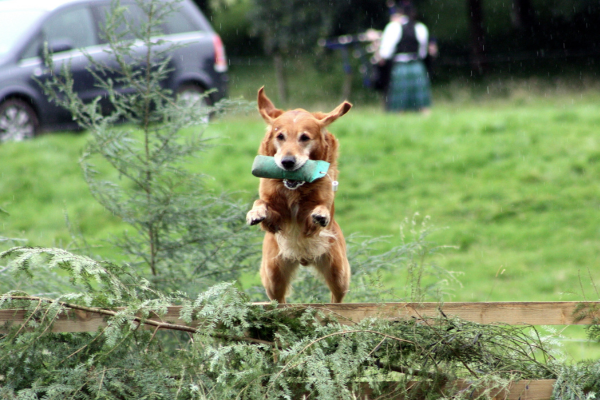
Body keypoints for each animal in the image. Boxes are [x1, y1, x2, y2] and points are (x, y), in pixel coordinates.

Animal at [246, 86, 352, 302]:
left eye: (305, 137)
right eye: (280, 136)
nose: (287, 162)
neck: (294, 188)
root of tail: (303, 259)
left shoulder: (311, 221)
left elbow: (320, 208)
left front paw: (320, 213)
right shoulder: (275, 219)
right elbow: (261, 202)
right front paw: (255, 213)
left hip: (338, 270)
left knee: (337, 297)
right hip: (273, 273)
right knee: (278, 299)